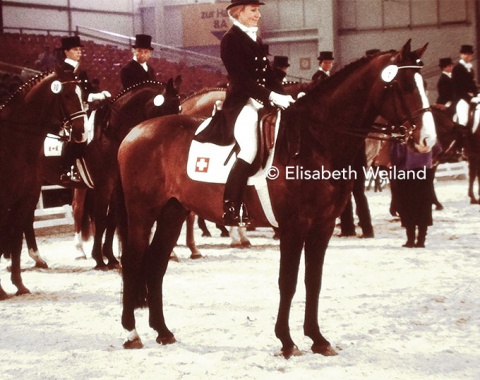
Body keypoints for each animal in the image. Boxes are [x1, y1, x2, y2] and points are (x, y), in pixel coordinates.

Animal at [0, 68, 87, 300]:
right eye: (67, 95)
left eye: (82, 95)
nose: (81, 133)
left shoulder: (25, 197)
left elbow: (17, 238)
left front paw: (19, 285)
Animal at [117, 41, 438, 356]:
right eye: (405, 85)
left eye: (423, 84)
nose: (427, 140)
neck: (315, 141)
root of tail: (134, 132)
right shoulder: (294, 226)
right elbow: (289, 281)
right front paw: (287, 341)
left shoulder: (322, 226)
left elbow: (313, 281)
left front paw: (318, 339)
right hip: (142, 212)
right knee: (132, 261)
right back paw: (132, 333)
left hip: (173, 211)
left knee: (157, 264)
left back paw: (163, 331)